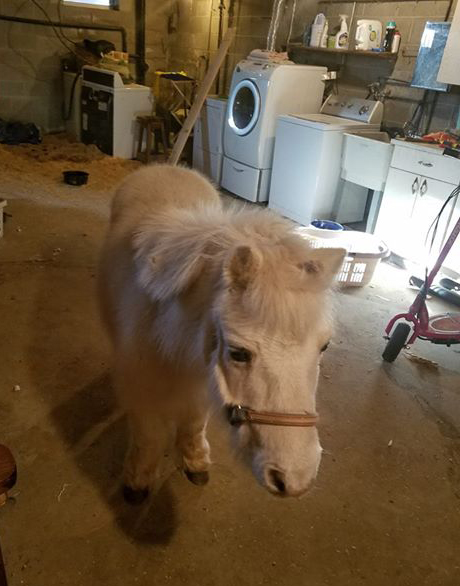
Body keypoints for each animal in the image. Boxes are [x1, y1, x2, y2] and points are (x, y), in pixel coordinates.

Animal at [99, 162, 344, 500]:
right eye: (238, 353)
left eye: (324, 346)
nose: (295, 480)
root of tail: (165, 166)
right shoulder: (142, 390)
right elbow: (149, 435)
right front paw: (138, 482)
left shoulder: (203, 384)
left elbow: (193, 421)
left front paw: (195, 463)